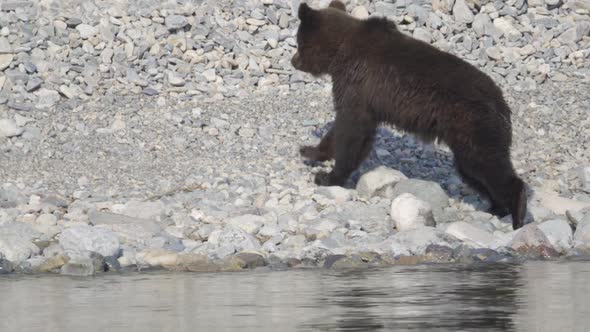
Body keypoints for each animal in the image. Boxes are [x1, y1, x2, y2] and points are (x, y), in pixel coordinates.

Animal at [294, 0, 528, 230]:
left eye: (298, 42)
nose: (293, 61)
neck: (339, 52)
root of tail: (502, 103)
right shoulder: (368, 99)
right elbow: (349, 132)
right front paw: (310, 151)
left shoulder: (357, 84)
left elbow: (350, 130)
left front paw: (327, 177)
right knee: (474, 172)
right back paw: (497, 207)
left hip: (473, 126)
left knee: (488, 166)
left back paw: (517, 213)